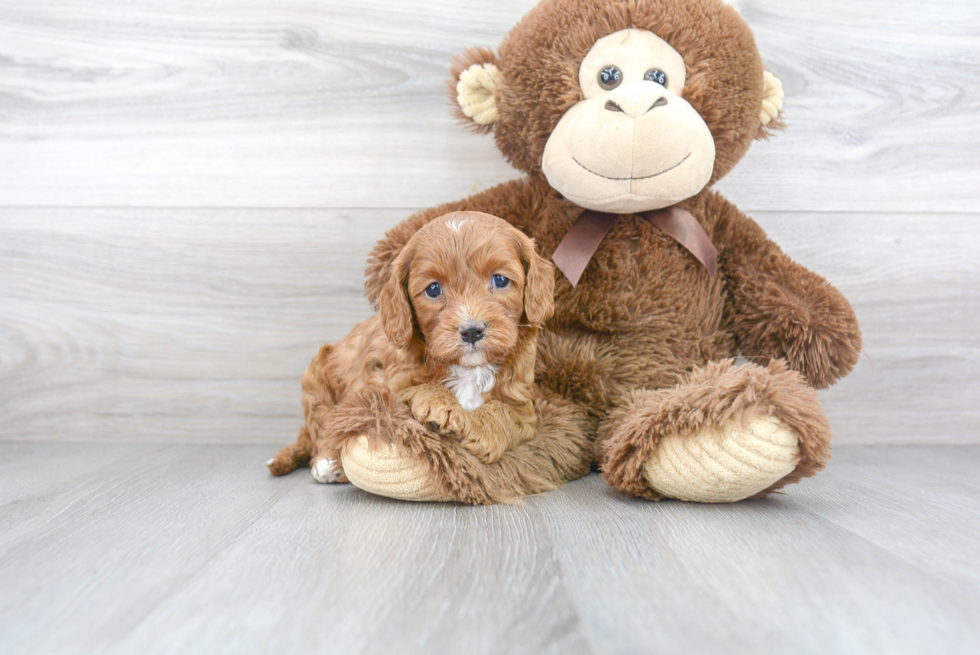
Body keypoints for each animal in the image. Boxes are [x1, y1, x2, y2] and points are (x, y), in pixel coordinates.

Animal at [268, 213, 556, 484]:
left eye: (500, 280)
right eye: (433, 289)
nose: (472, 330)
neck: (468, 368)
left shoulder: (525, 408)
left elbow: (505, 412)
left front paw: (483, 433)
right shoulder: (383, 386)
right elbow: (409, 390)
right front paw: (440, 405)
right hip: (315, 385)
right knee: (320, 430)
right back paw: (327, 464)